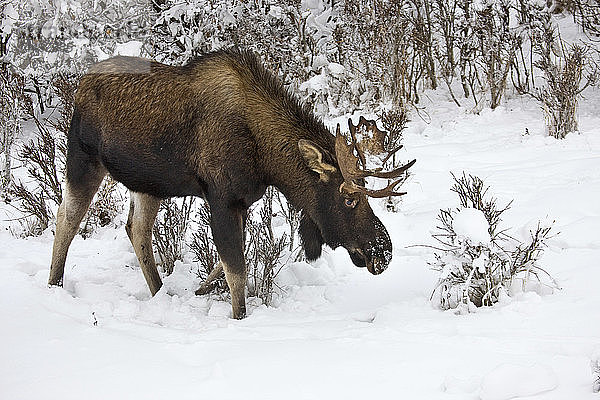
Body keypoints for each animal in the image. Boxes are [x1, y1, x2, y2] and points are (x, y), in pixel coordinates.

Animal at [48, 48, 412, 320]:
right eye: (350, 200)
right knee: (67, 217)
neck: (266, 160)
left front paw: (200, 290)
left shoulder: (242, 200)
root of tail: (80, 83)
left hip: (148, 183)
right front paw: (238, 318)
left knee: (136, 229)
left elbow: (226, 265)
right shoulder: (221, 198)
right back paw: (54, 285)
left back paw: (159, 292)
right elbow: (236, 270)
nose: (384, 251)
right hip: (83, 158)